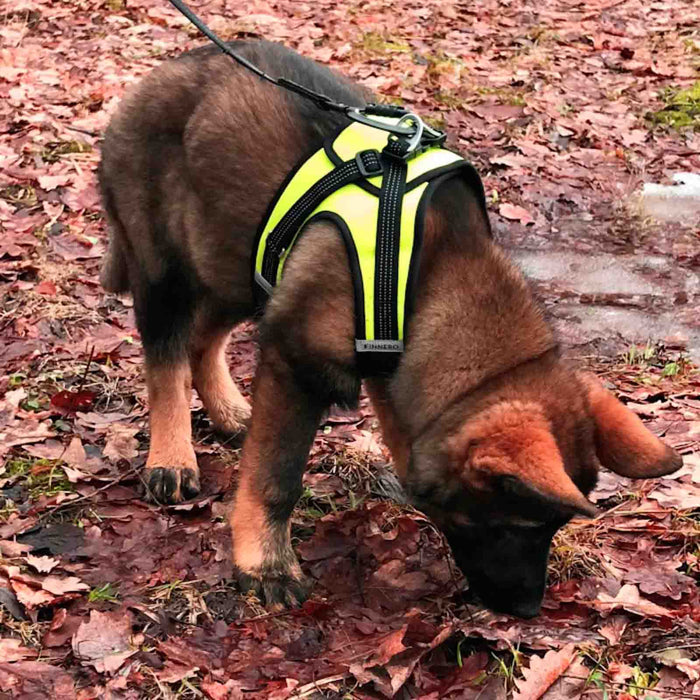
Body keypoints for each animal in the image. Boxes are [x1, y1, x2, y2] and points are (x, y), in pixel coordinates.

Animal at [97, 39, 680, 616]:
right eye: (520, 525)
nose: (528, 610)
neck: (433, 272)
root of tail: (162, 72)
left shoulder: (375, 349)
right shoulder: (297, 362)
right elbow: (276, 477)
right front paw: (265, 564)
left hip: (237, 263)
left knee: (202, 338)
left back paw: (228, 410)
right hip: (168, 271)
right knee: (166, 357)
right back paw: (171, 458)